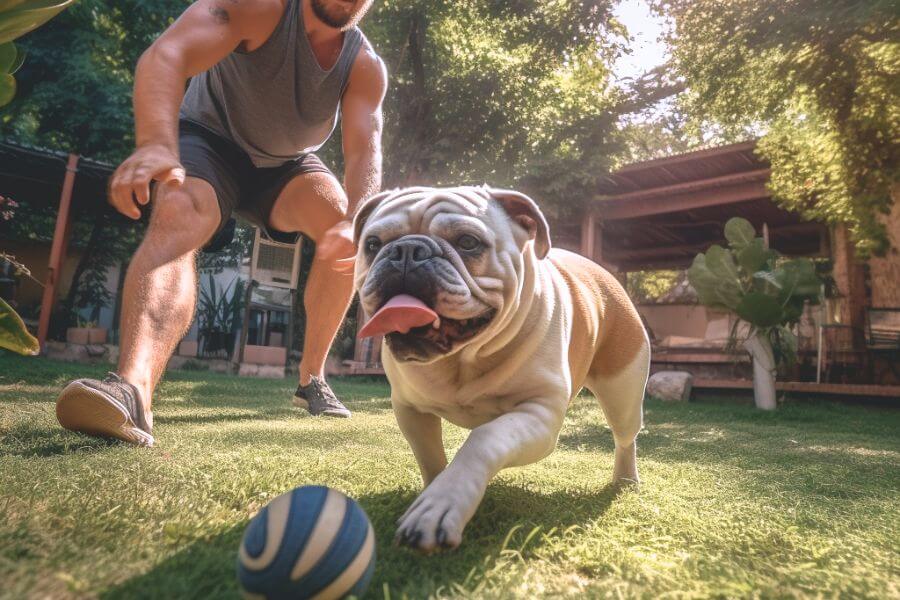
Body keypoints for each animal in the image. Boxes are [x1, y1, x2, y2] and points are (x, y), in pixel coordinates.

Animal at [350, 186, 648, 552]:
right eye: (372, 244)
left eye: (468, 242)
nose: (407, 250)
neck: (463, 358)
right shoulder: (410, 410)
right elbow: (430, 456)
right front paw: (434, 491)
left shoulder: (539, 415)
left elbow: (485, 438)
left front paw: (444, 501)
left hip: (623, 392)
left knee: (626, 437)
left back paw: (625, 478)